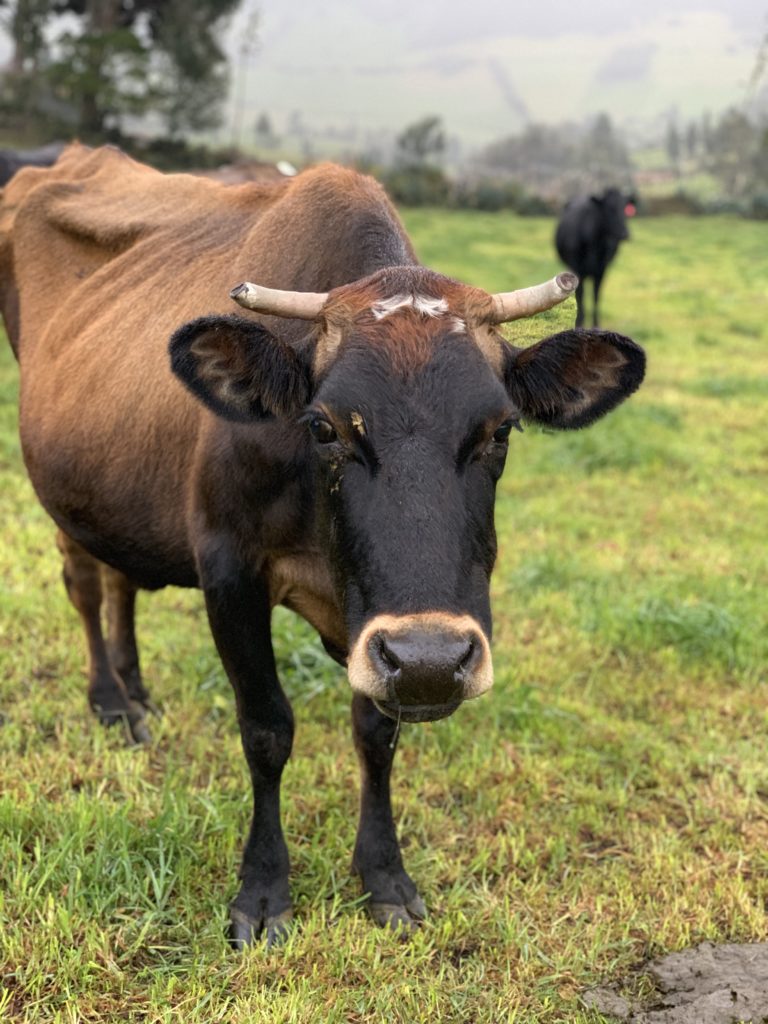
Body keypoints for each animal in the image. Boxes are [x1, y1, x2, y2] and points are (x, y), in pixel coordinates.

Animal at [561, 186, 638, 325]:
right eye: (609, 208)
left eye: (625, 209)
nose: (625, 234)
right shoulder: (578, 269)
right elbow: (580, 295)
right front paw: (579, 322)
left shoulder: (601, 270)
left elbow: (596, 295)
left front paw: (596, 324)